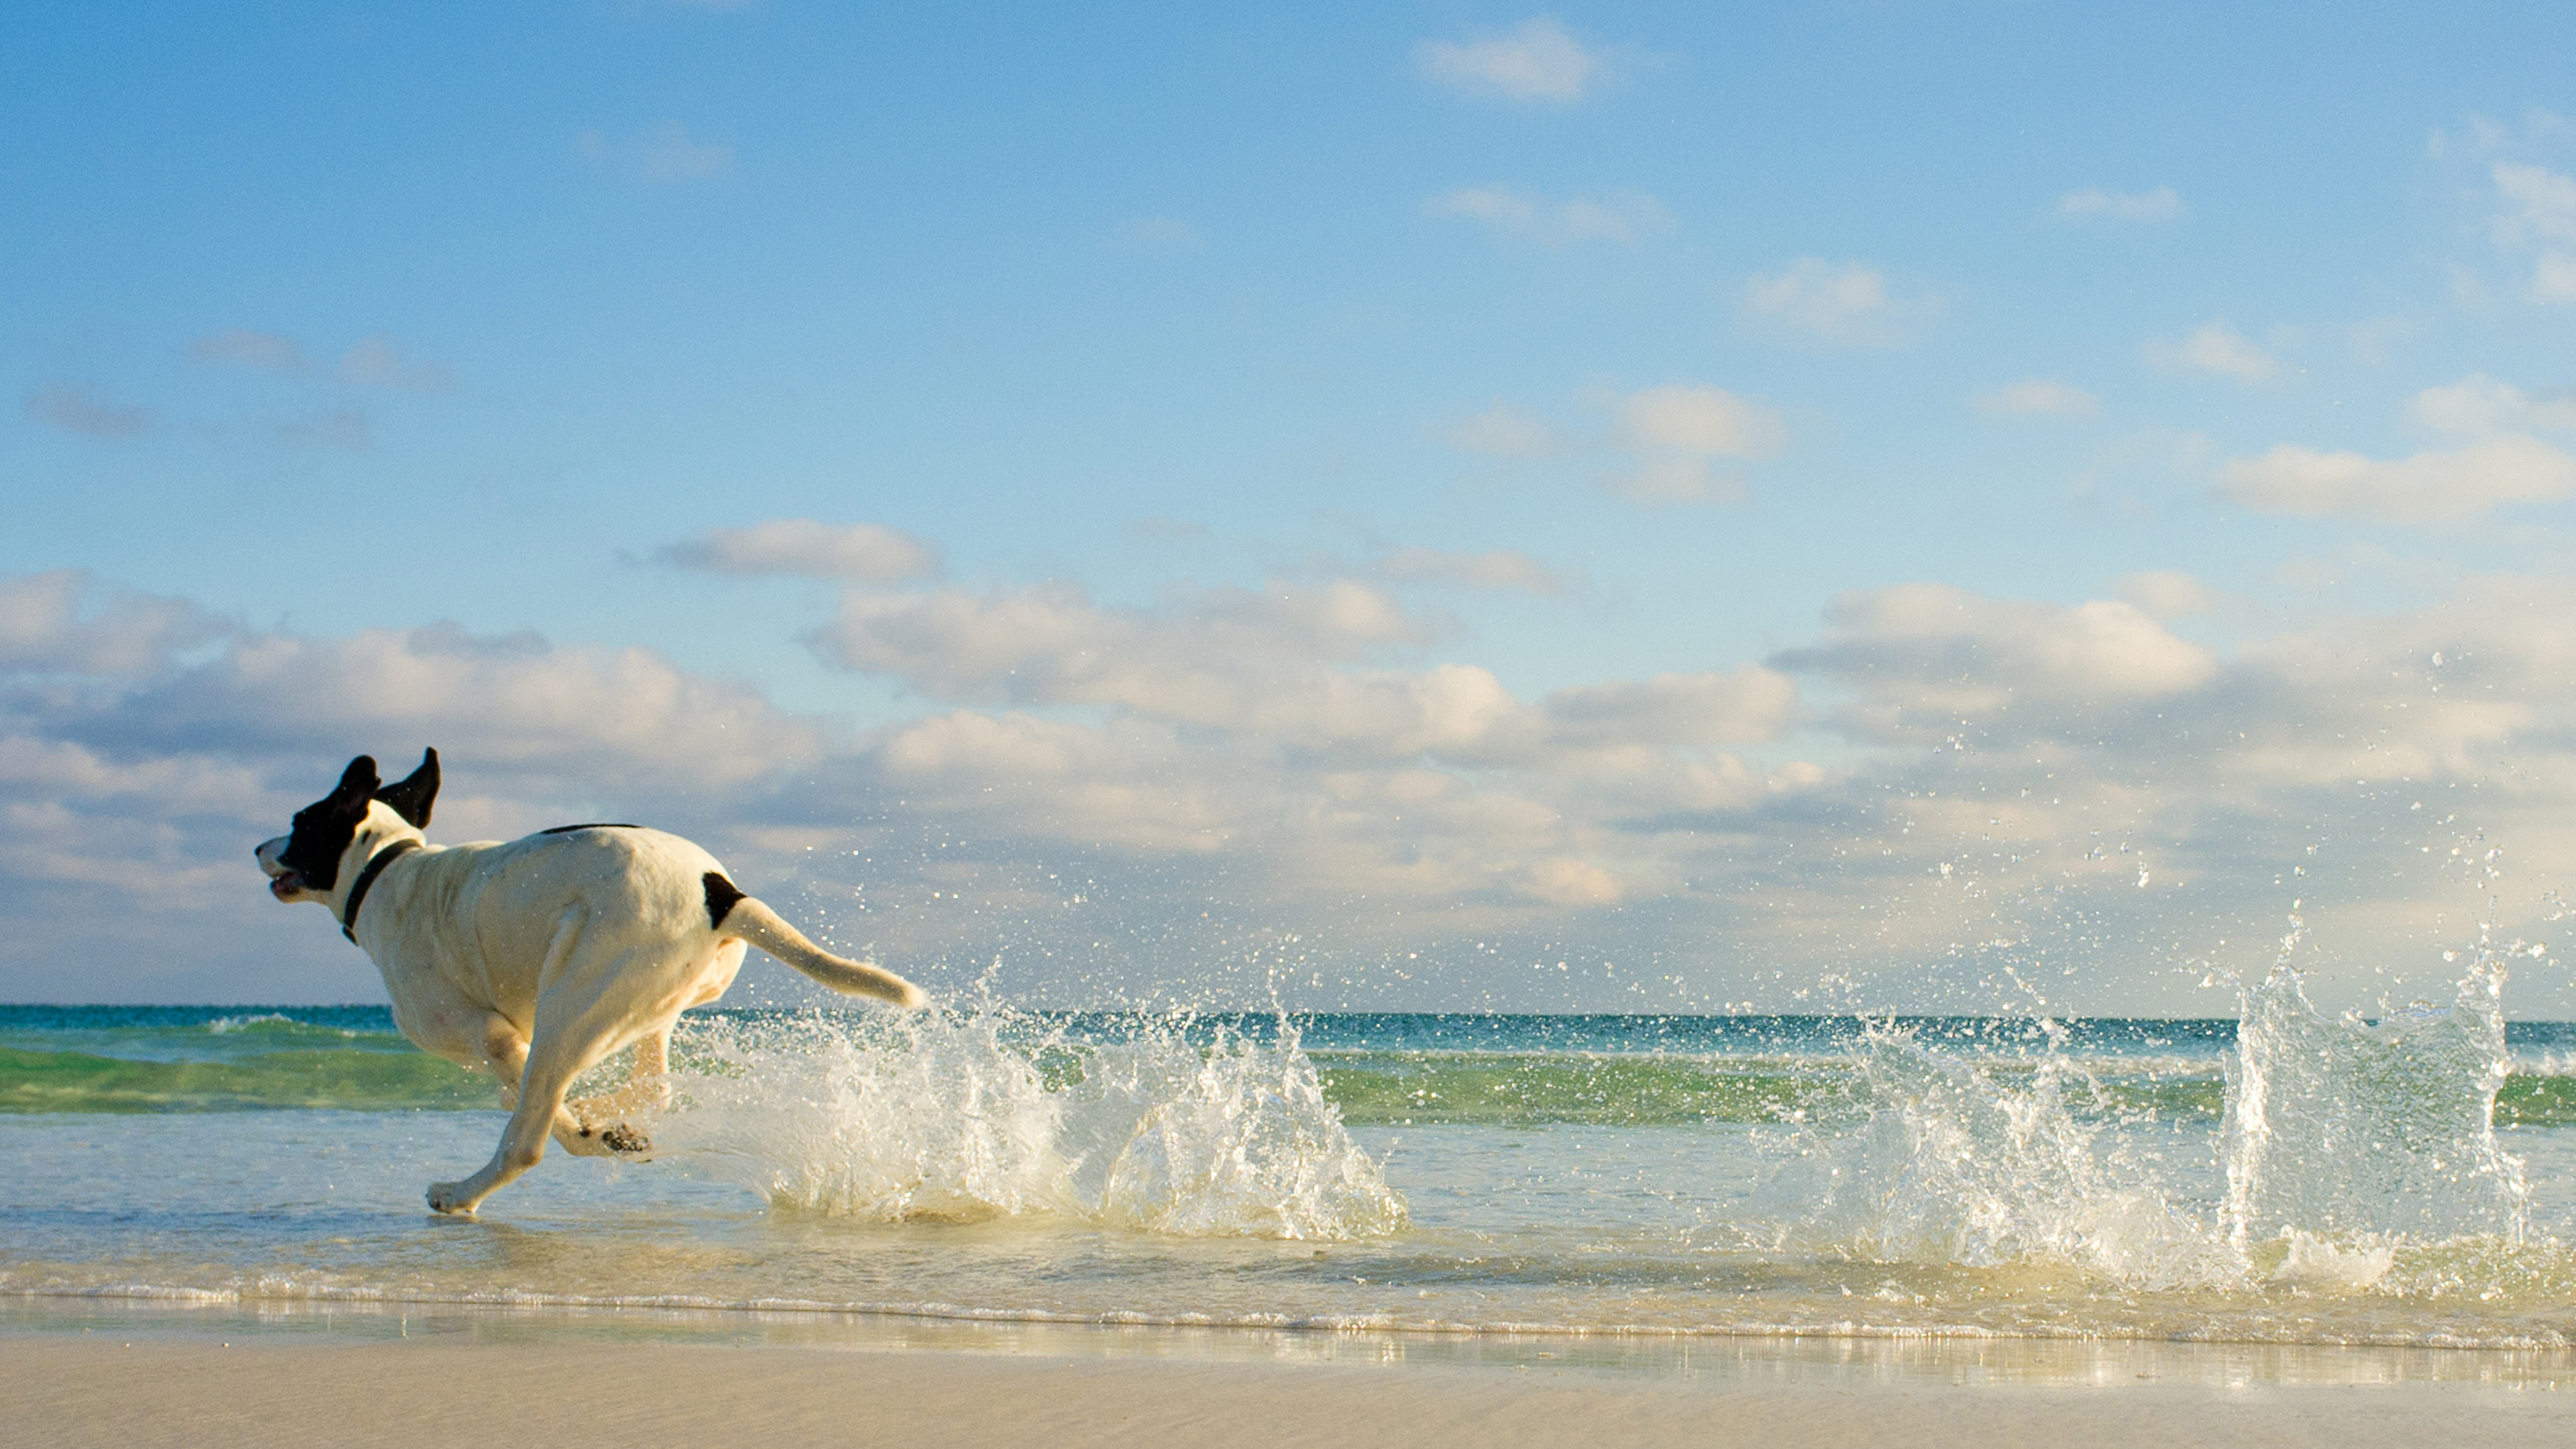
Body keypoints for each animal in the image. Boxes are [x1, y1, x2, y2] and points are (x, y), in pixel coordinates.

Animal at [258, 747, 927, 1212]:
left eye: (299, 821)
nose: (260, 848)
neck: (385, 868)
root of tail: (721, 893)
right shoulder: (515, 1038)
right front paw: (596, 1124)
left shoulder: (491, 1035)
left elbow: (542, 1113)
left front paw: (584, 1129)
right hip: (643, 1005)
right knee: (646, 1087)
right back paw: (609, 1120)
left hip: (574, 1003)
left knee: (526, 1136)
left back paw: (464, 1192)